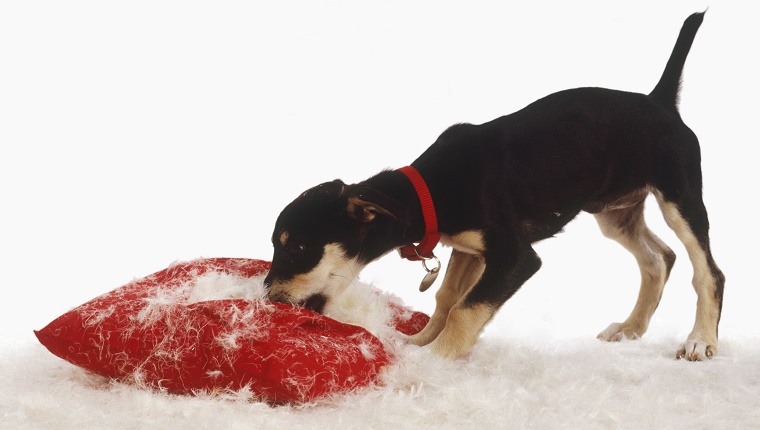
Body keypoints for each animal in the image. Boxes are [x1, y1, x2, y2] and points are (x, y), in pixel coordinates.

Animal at [266, 11, 724, 362]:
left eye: (297, 248)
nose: (269, 298)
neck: (428, 191)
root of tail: (659, 101)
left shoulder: (514, 257)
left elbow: (466, 308)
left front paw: (434, 359)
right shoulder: (470, 251)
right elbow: (446, 298)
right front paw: (417, 342)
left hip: (679, 199)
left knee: (708, 272)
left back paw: (700, 341)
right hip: (616, 215)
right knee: (659, 258)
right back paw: (630, 328)